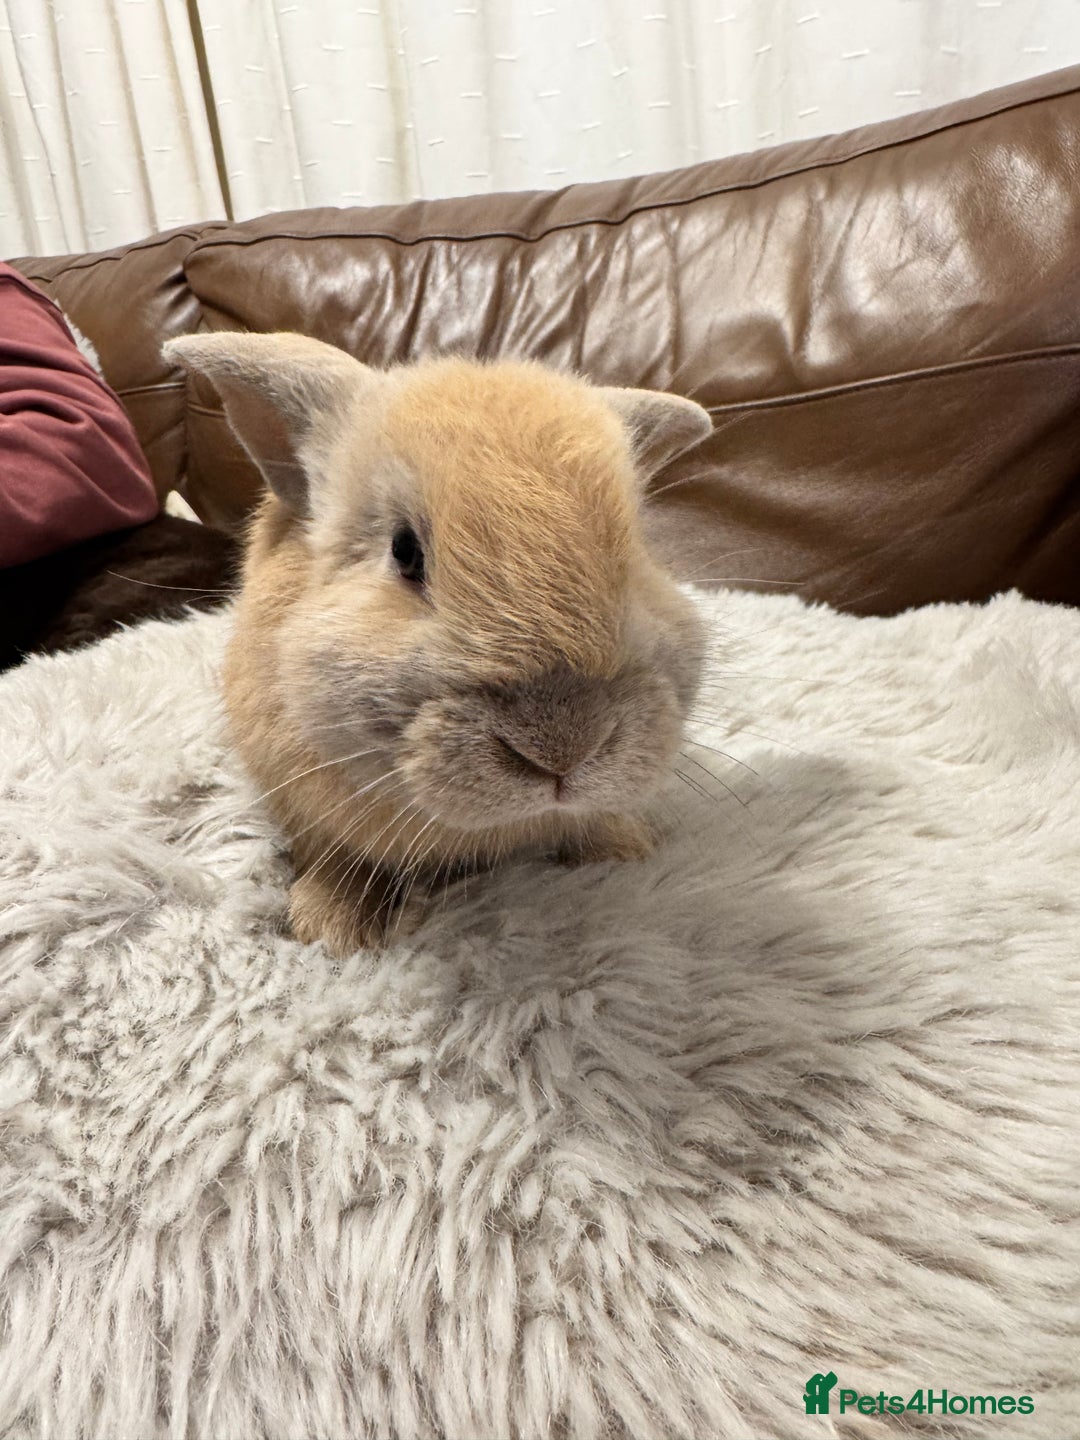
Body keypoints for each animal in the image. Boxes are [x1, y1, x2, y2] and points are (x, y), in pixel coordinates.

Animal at [164, 332, 713, 954]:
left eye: (636, 551)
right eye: (404, 551)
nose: (563, 750)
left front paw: (624, 849)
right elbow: (338, 854)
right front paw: (334, 927)